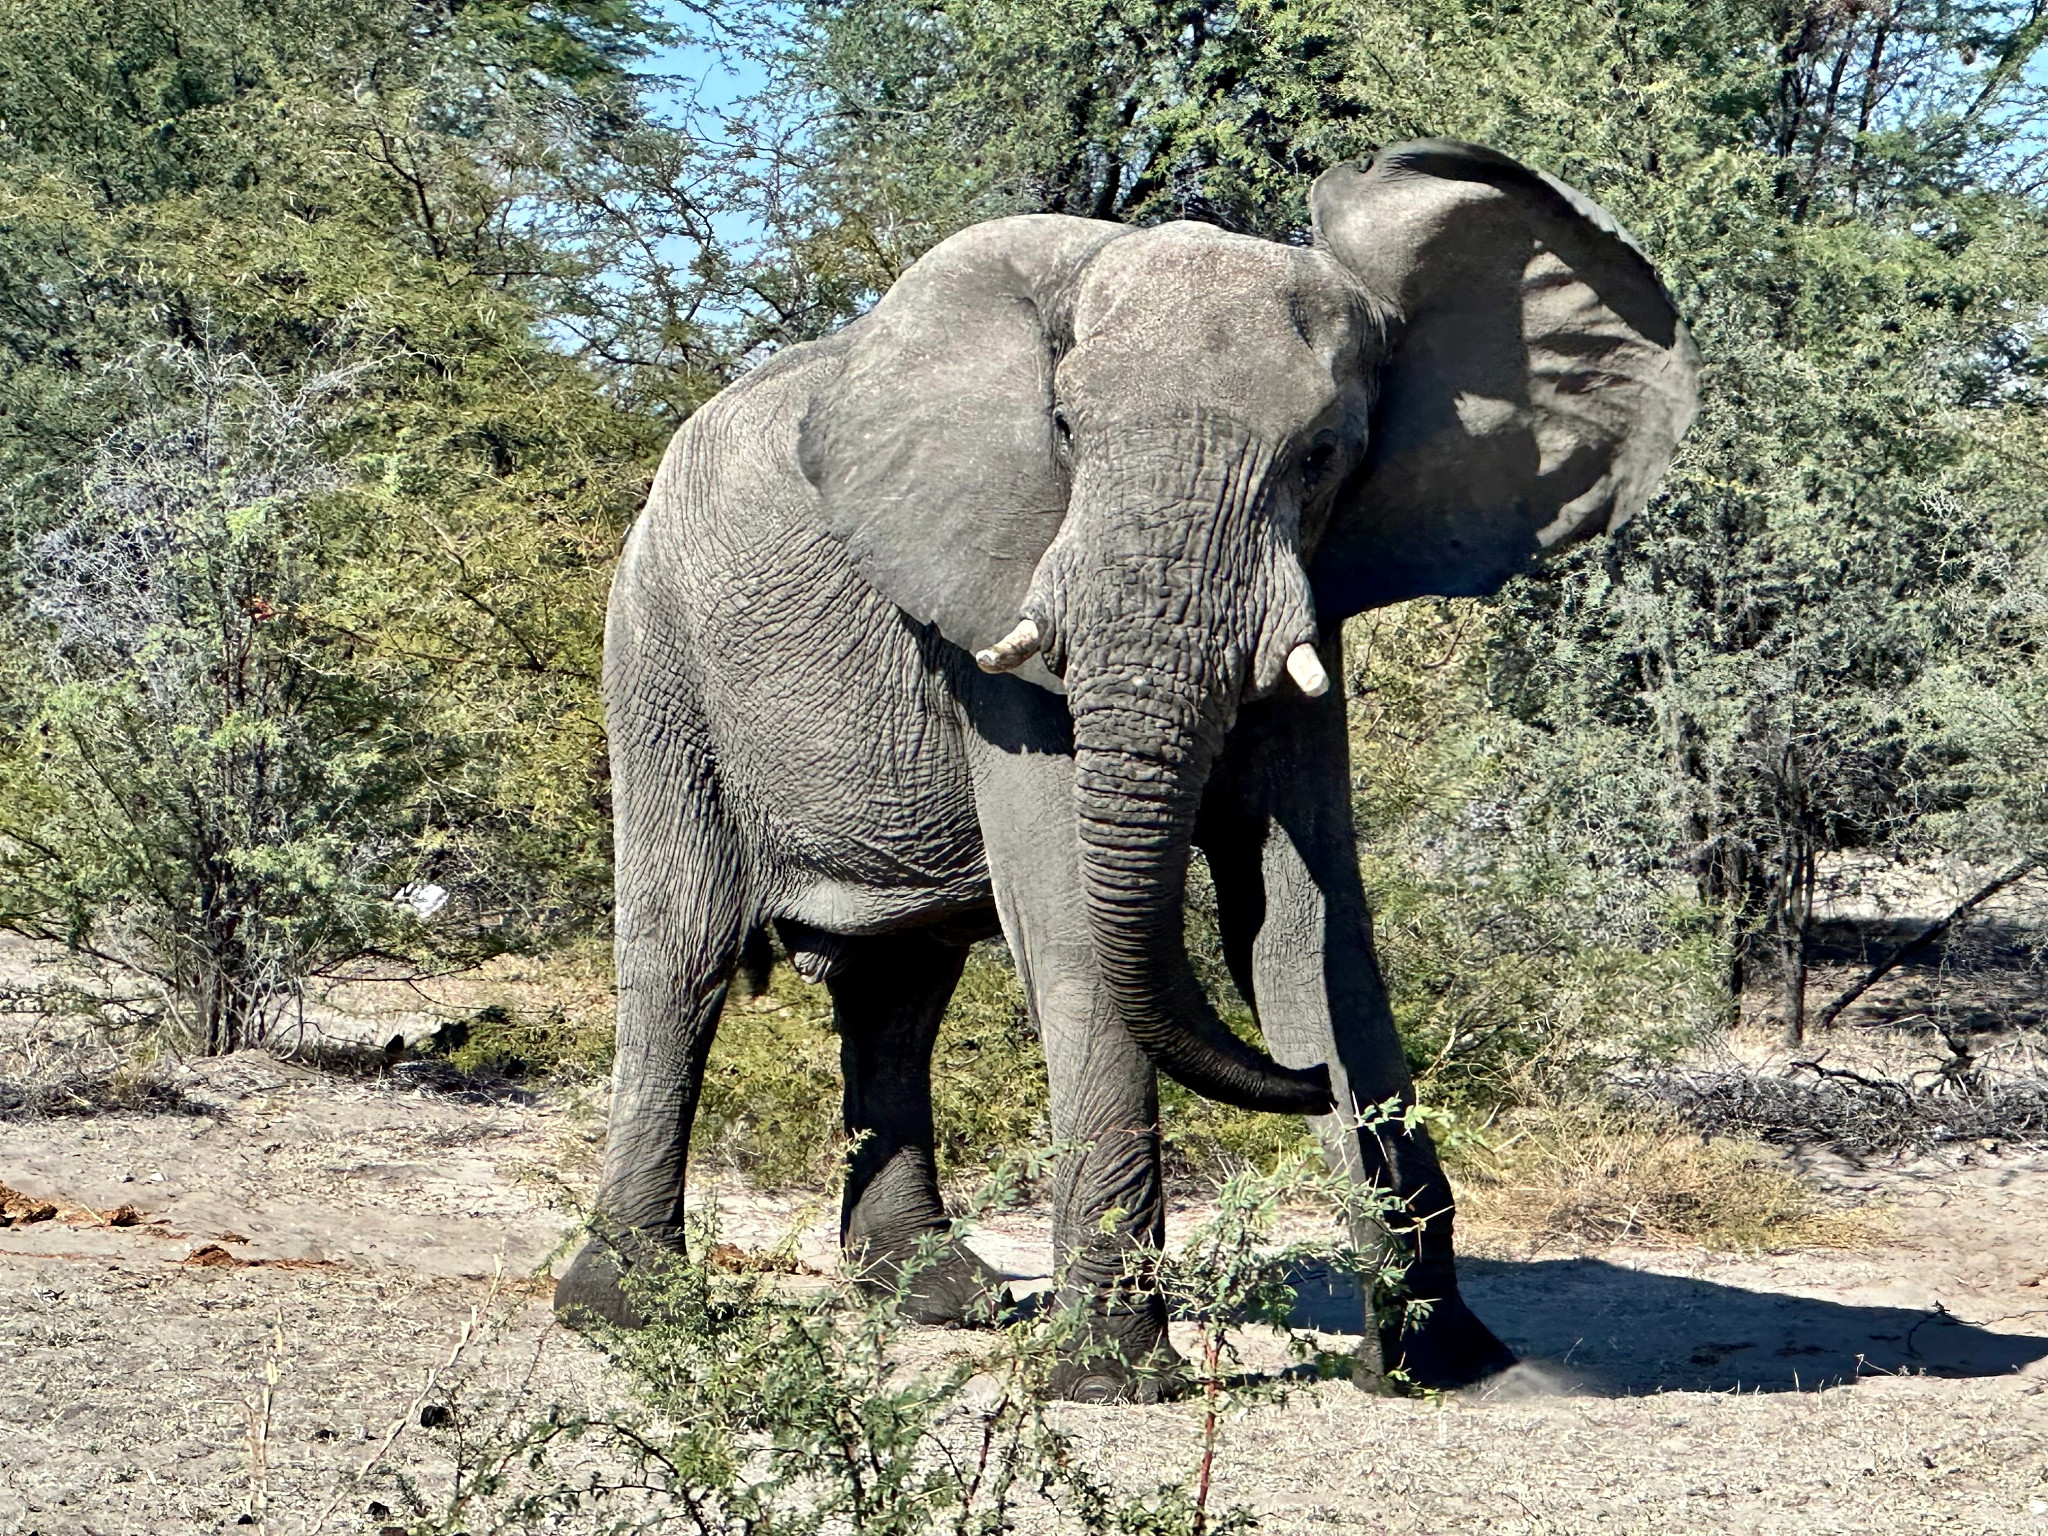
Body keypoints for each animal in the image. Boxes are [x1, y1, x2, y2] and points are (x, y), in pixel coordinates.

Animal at [554, 139, 1699, 1399]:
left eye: (1322, 456)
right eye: (1061, 429)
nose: (1304, 1078)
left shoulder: (1311, 601)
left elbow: (1303, 924)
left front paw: (1444, 1363)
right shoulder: (1004, 607)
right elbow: (1071, 924)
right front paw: (1108, 1380)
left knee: (901, 985)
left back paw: (938, 1302)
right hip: (656, 648)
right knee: (682, 954)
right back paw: (628, 1312)